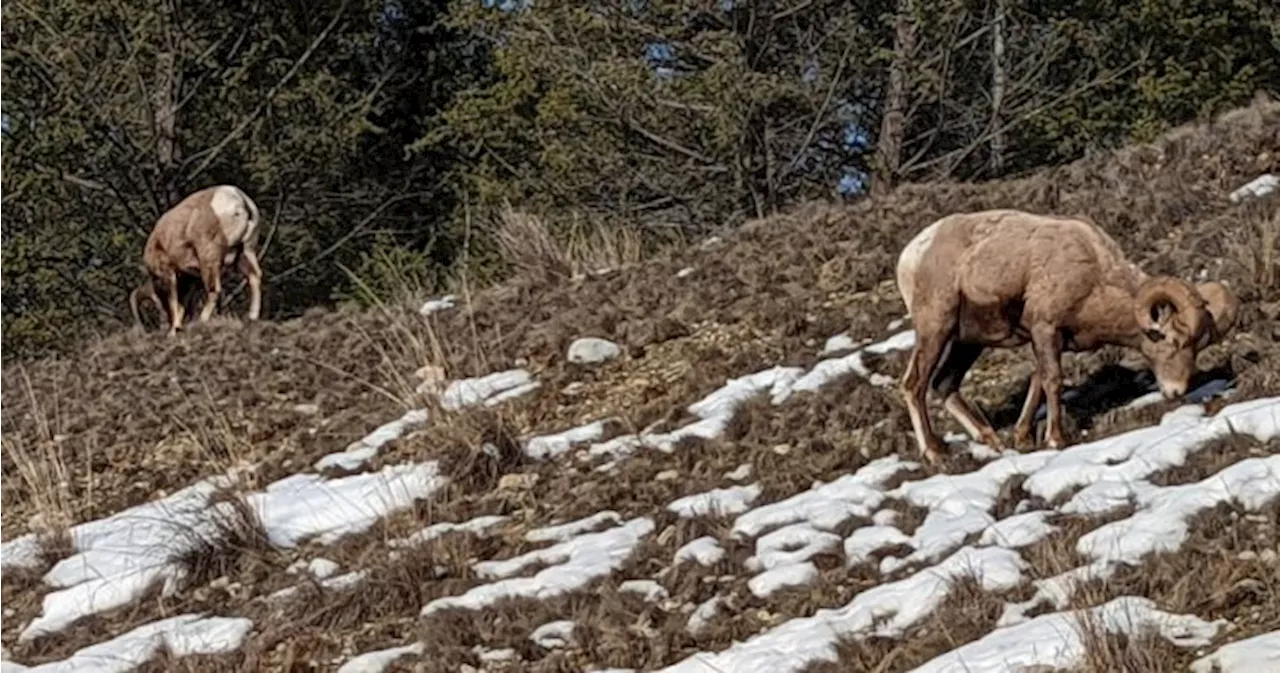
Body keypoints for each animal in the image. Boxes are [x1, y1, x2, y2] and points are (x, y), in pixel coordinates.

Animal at [141, 184, 263, 337]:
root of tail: (239, 200)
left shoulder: (169, 273)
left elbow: (174, 300)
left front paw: (173, 331)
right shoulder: (192, 278)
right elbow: (184, 303)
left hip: (210, 261)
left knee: (214, 290)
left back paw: (202, 320)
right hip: (246, 251)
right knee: (255, 277)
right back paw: (253, 317)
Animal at [896, 209, 1233, 465]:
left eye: (1198, 347)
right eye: (1171, 341)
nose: (1177, 391)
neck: (1093, 274)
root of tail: (910, 257)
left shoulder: (1048, 340)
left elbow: (1037, 380)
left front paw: (1022, 438)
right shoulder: (1045, 329)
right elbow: (1053, 381)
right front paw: (1056, 440)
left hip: (968, 342)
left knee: (944, 384)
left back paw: (992, 441)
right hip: (936, 330)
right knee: (915, 384)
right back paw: (935, 453)